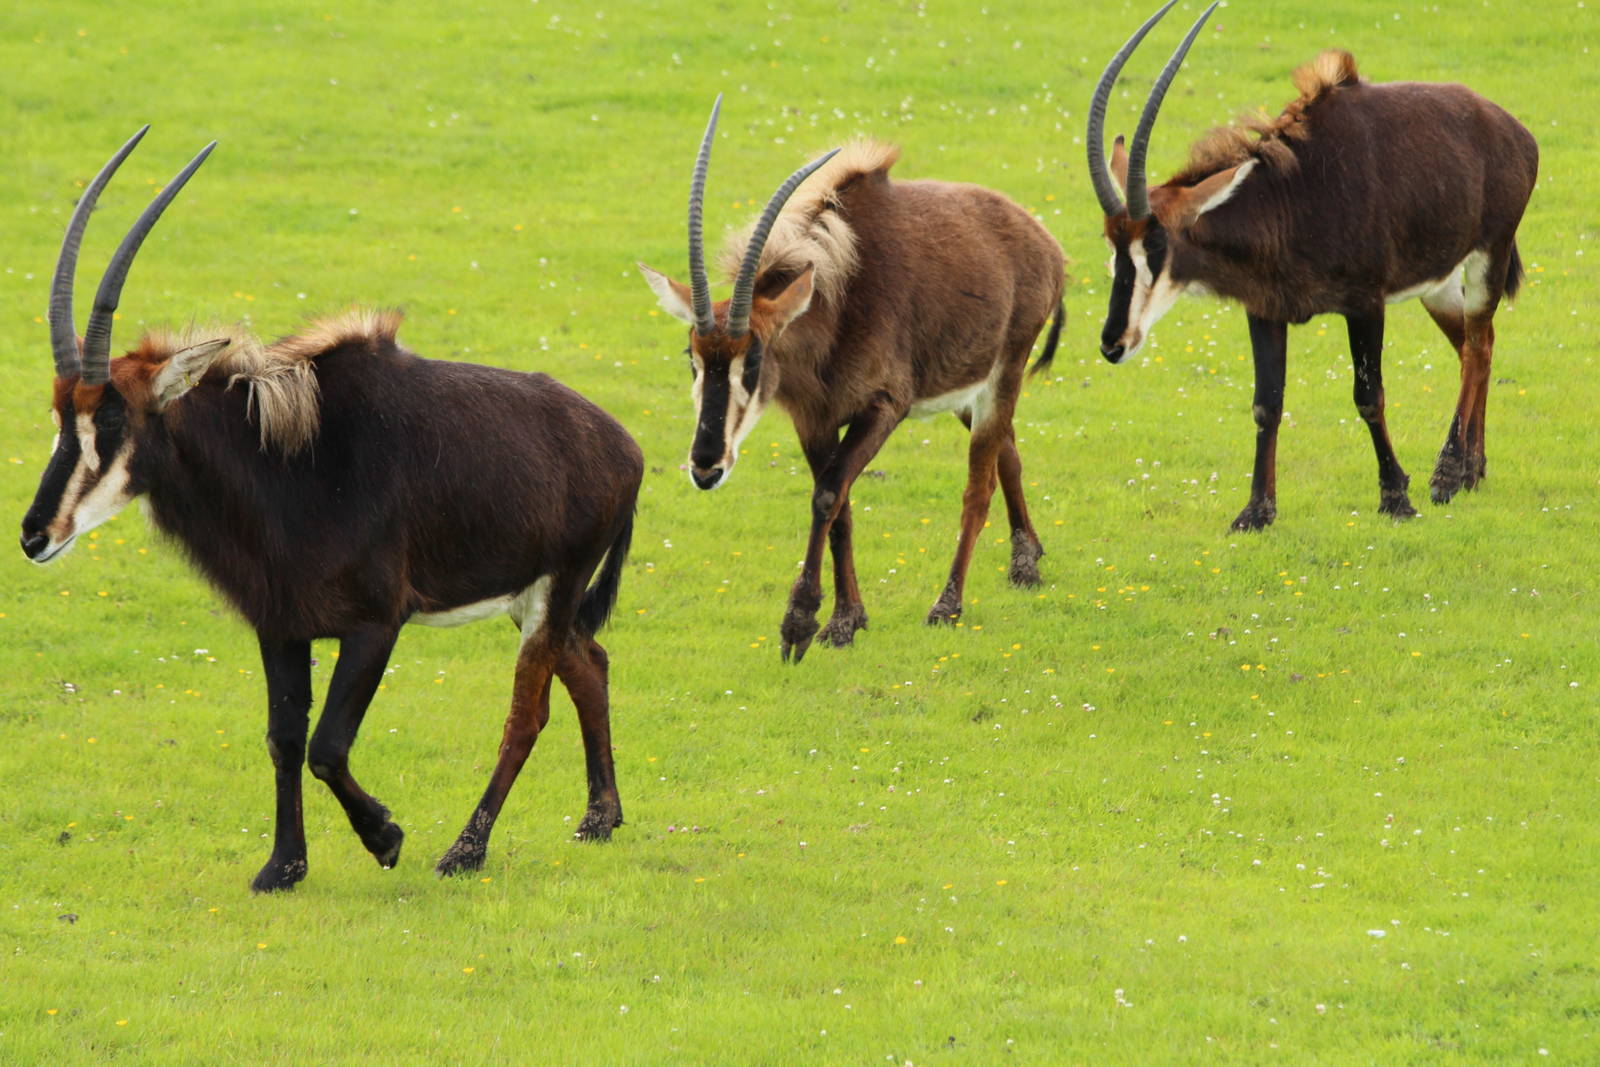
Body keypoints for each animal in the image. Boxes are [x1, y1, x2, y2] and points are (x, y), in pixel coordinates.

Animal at [20, 128, 643, 892]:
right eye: (60, 415)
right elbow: (285, 740)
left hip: (556, 586)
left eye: (111, 422)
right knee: (590, 663)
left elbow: (327, 745)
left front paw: (386, 836)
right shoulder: (280, 626)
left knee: (527, 714)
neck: (287, 464)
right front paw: (283, 865)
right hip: (531, 598)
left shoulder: (375, 626)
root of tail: (624, 446)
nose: (35, 533)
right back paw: (599, 818)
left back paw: (465, 849)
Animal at [639, 98, 1065, 662]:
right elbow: (840, 505)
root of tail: (1045, 244)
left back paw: (948, 605)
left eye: (753, 359)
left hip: (1004, 372)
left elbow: (827, 495)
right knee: (1008, 453)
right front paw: (848, 619)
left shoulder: (884, 407)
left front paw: (802, 623)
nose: (706, 466)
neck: (837, 305)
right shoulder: (814, 420)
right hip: (964, 392)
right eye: (691, 356)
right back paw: (1026, 563)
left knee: (979, 486)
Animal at [1087, 1, 1538, 530]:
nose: (1113, 344)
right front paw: (1256, 512)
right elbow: (1267, 403)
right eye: (1112, 244)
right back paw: (1472, 470)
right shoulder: (1264, 309)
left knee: (1478, 347)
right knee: (1474, 346)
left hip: (1489, 256)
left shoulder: (1365, 305)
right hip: (1439, 286)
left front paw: (1395, 497)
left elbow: (1369, 396)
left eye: (1156, 245)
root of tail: (1513, 130)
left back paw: (1447, 476)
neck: (1291, 198)